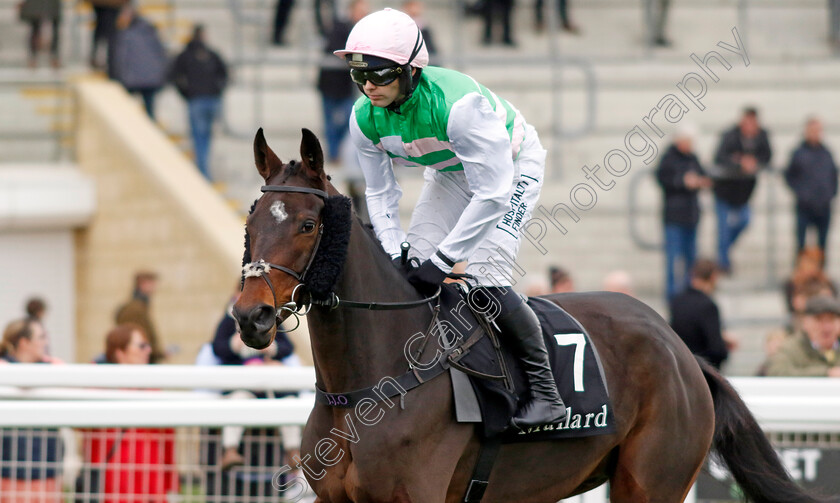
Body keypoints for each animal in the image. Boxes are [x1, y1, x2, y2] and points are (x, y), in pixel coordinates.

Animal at [233, 130, 824, 503]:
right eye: (251, 220)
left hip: (652, 481)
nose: (250, 316)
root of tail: (682, 351)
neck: (370, 385)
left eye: (308, 224)